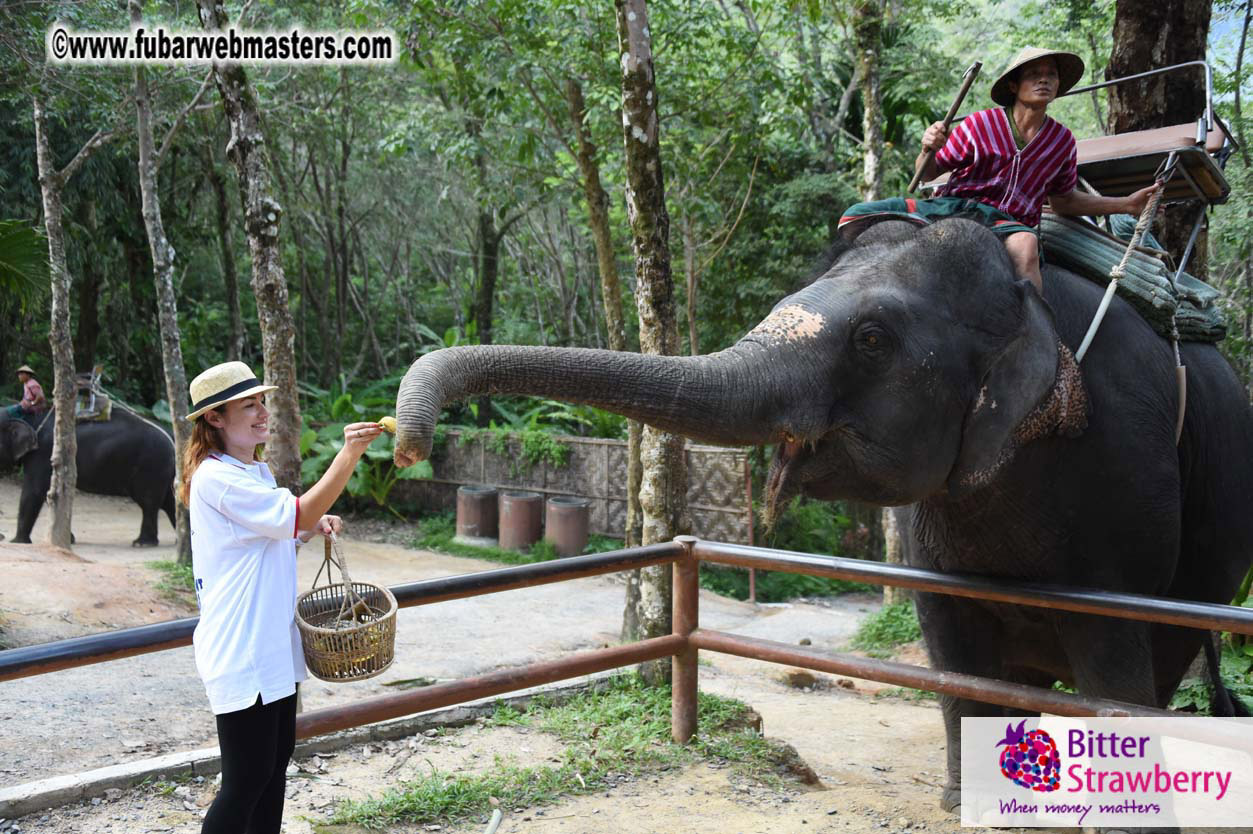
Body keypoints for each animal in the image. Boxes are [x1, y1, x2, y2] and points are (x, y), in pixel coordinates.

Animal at [0, 406, 176, 546]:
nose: (2, 537)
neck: (29, 417)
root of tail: (172, 438)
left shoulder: (43, 454)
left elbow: (34, 491)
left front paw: (17, 542)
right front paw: (69, 540)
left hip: (151, 465)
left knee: (149, 503)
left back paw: (143, 543)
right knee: (169, 501)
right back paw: (176, 542)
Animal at [390, 218, 1253, 823]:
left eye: (871, 339)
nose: (406, 445)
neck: (1024, 294)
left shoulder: (1122, 476)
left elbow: (1114, 663)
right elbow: (952, 652)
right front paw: (967, 806)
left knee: (1160, 664)